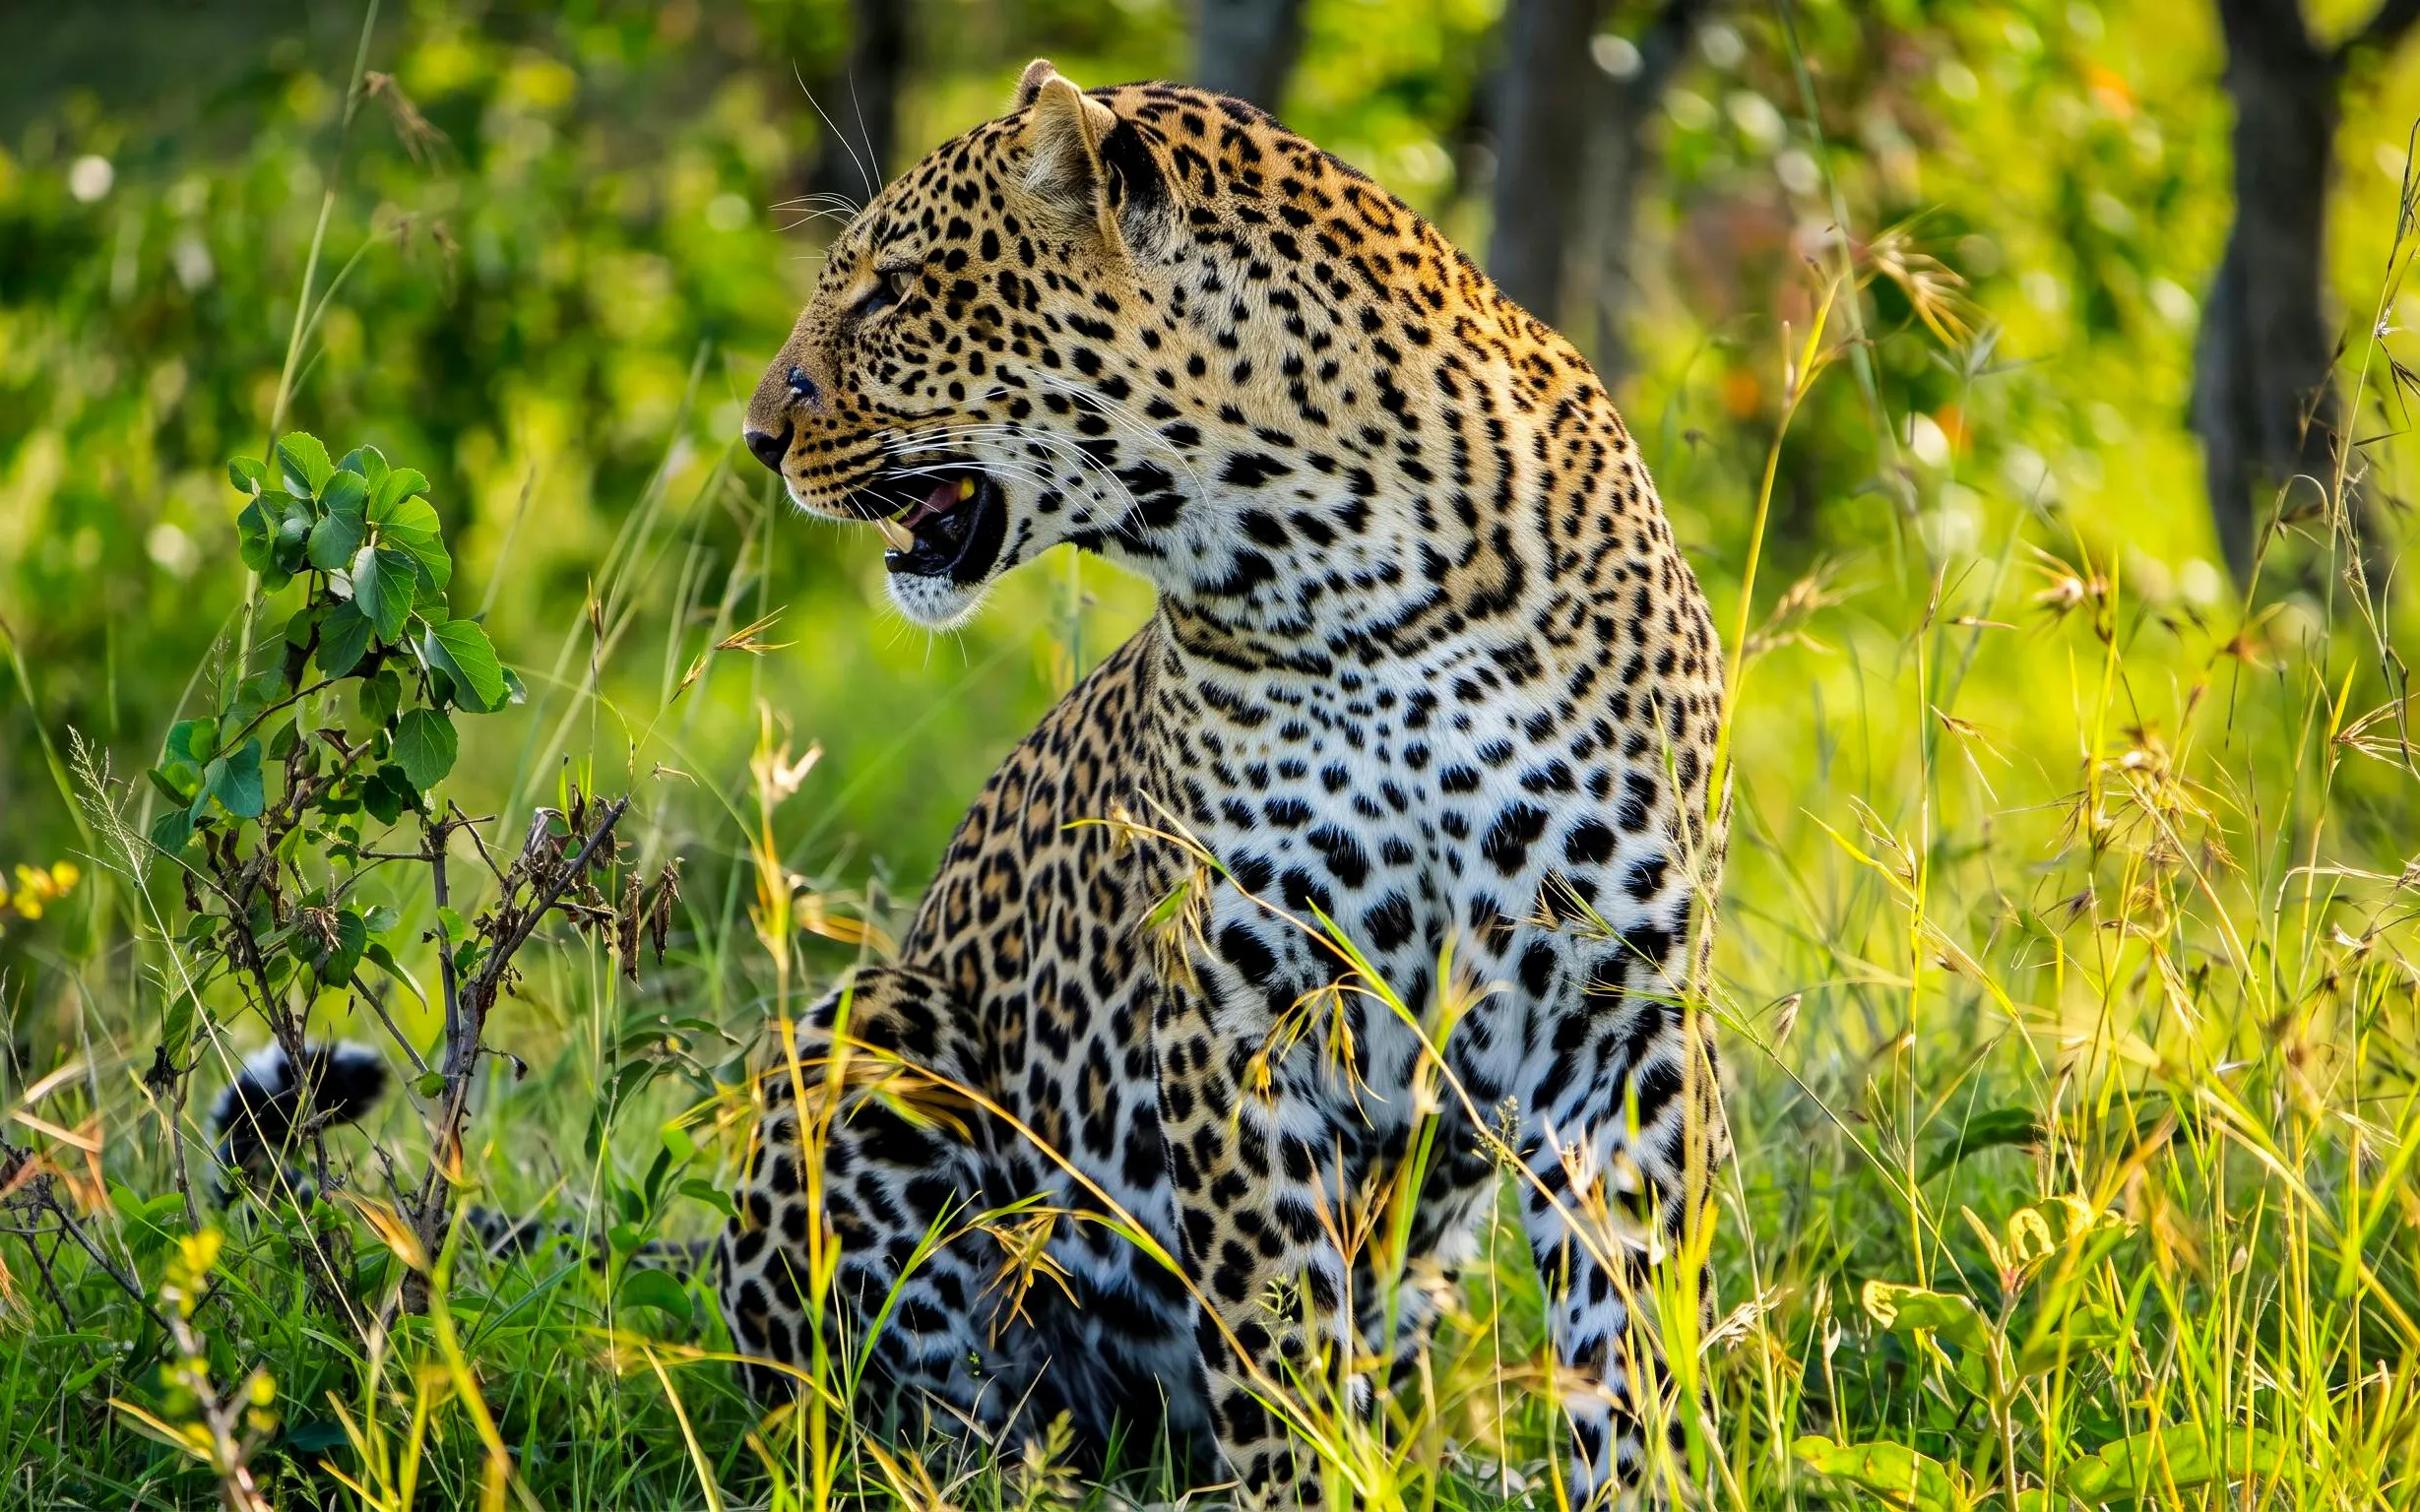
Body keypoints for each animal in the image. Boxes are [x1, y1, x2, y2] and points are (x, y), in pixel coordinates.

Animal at [724, 59, 1731, 1508]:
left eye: (890, 291)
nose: (754, 437)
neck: (1354, 579)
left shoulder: (1619, 1019)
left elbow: (1630, 1338)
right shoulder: (1236, 1013)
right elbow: (1278, 1349)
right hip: (872, 1032)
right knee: (888, 1413)